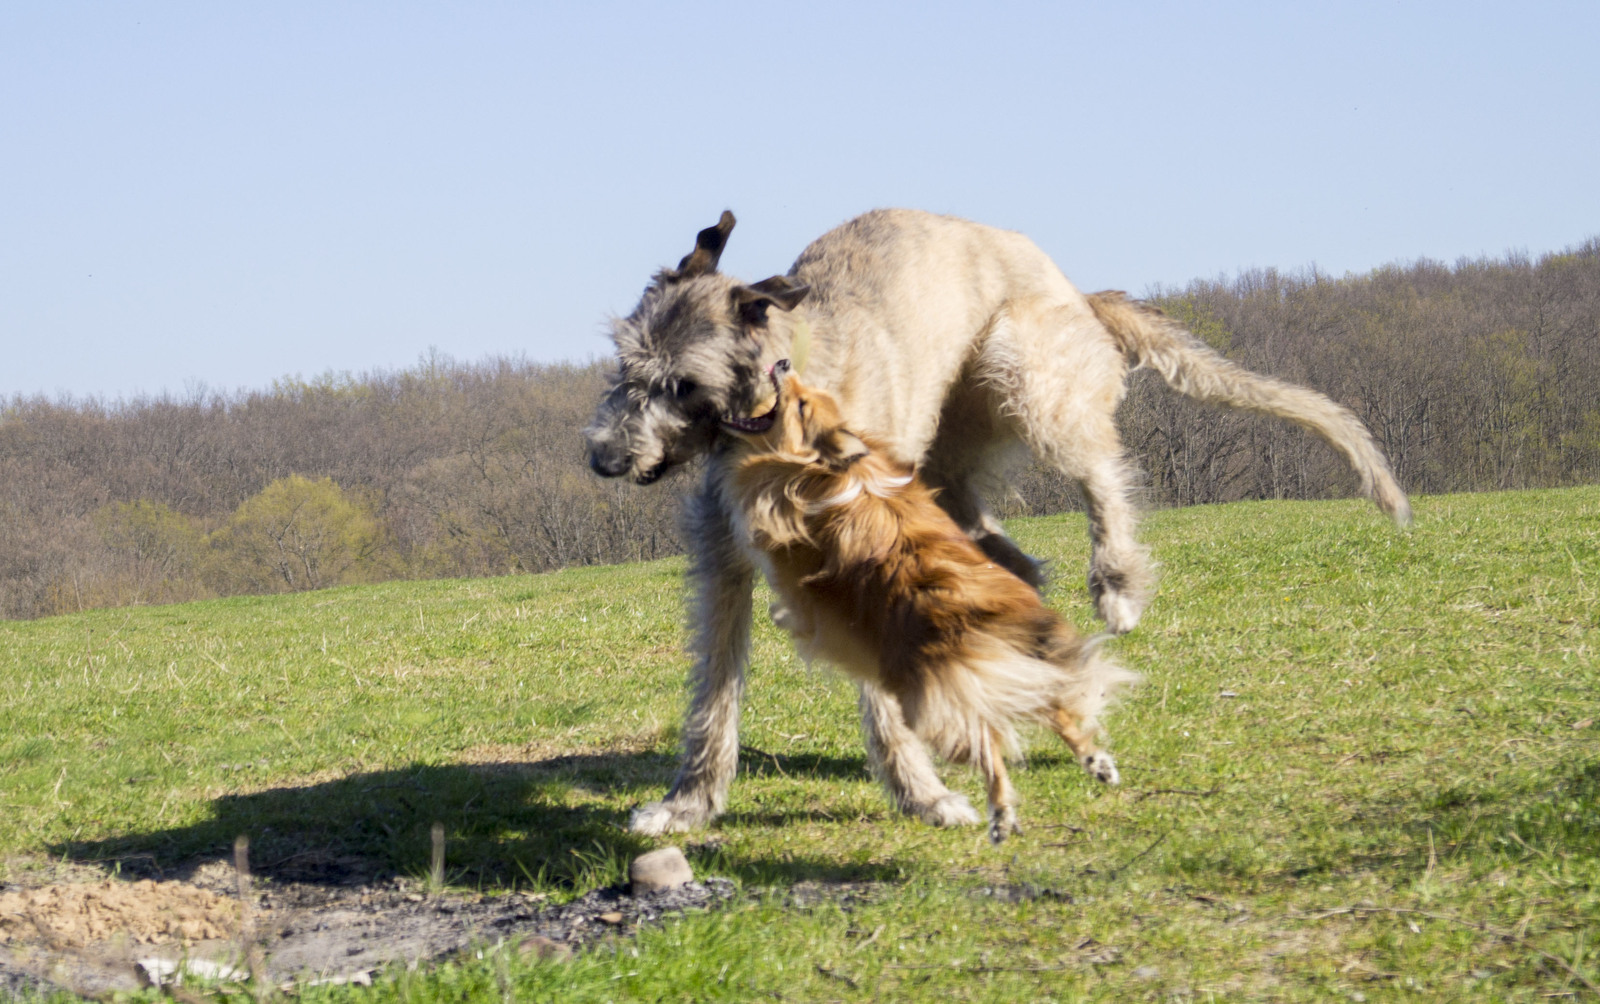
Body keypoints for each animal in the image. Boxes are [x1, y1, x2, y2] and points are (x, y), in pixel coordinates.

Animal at [585, 207, 1401, 837]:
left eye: (682, 384)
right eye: (624, 364)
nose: (604, 458)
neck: (771, 404)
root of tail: (1077, 291)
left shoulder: (860, 559)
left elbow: (880, 694)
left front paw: (922, 795)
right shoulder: (726, 561)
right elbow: (714, 690)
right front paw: (688, 804)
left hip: (1025, 375)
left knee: (1103, 471)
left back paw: (1116, 581)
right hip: (949, 473)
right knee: (1018, 565)